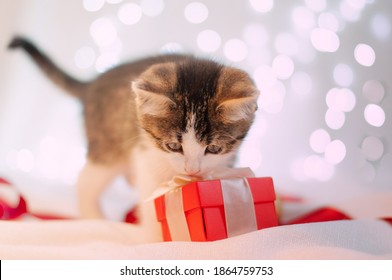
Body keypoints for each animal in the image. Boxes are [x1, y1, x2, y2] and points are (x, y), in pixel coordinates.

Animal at [7, 35, 258, 241]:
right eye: (173, 146)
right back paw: (97, 219)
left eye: (213, 149)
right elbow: (150, 202)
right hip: (108, 146)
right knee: (85, 182)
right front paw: (156, 241)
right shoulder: (145, 156)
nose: (192, 170)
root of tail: (92, 85)